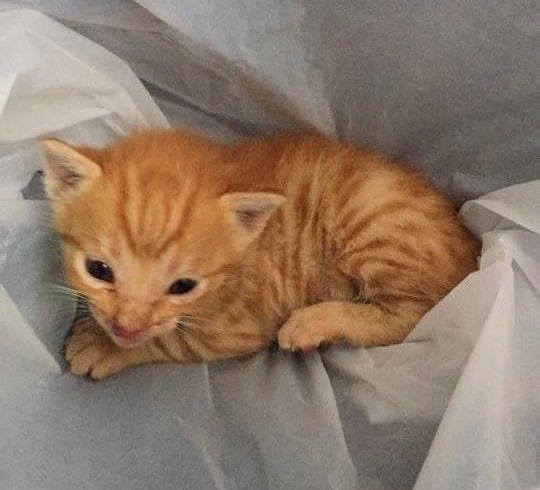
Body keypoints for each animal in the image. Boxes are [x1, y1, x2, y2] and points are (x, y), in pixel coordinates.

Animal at [43, 130, 480, 378]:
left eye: (183, 286)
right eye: (98, 269)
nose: (126, 327)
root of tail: (471, 244)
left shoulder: (241, 327)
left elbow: (176, 340)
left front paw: (102, 347)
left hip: (371, 219)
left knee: (413, 314)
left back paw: (311, 323)